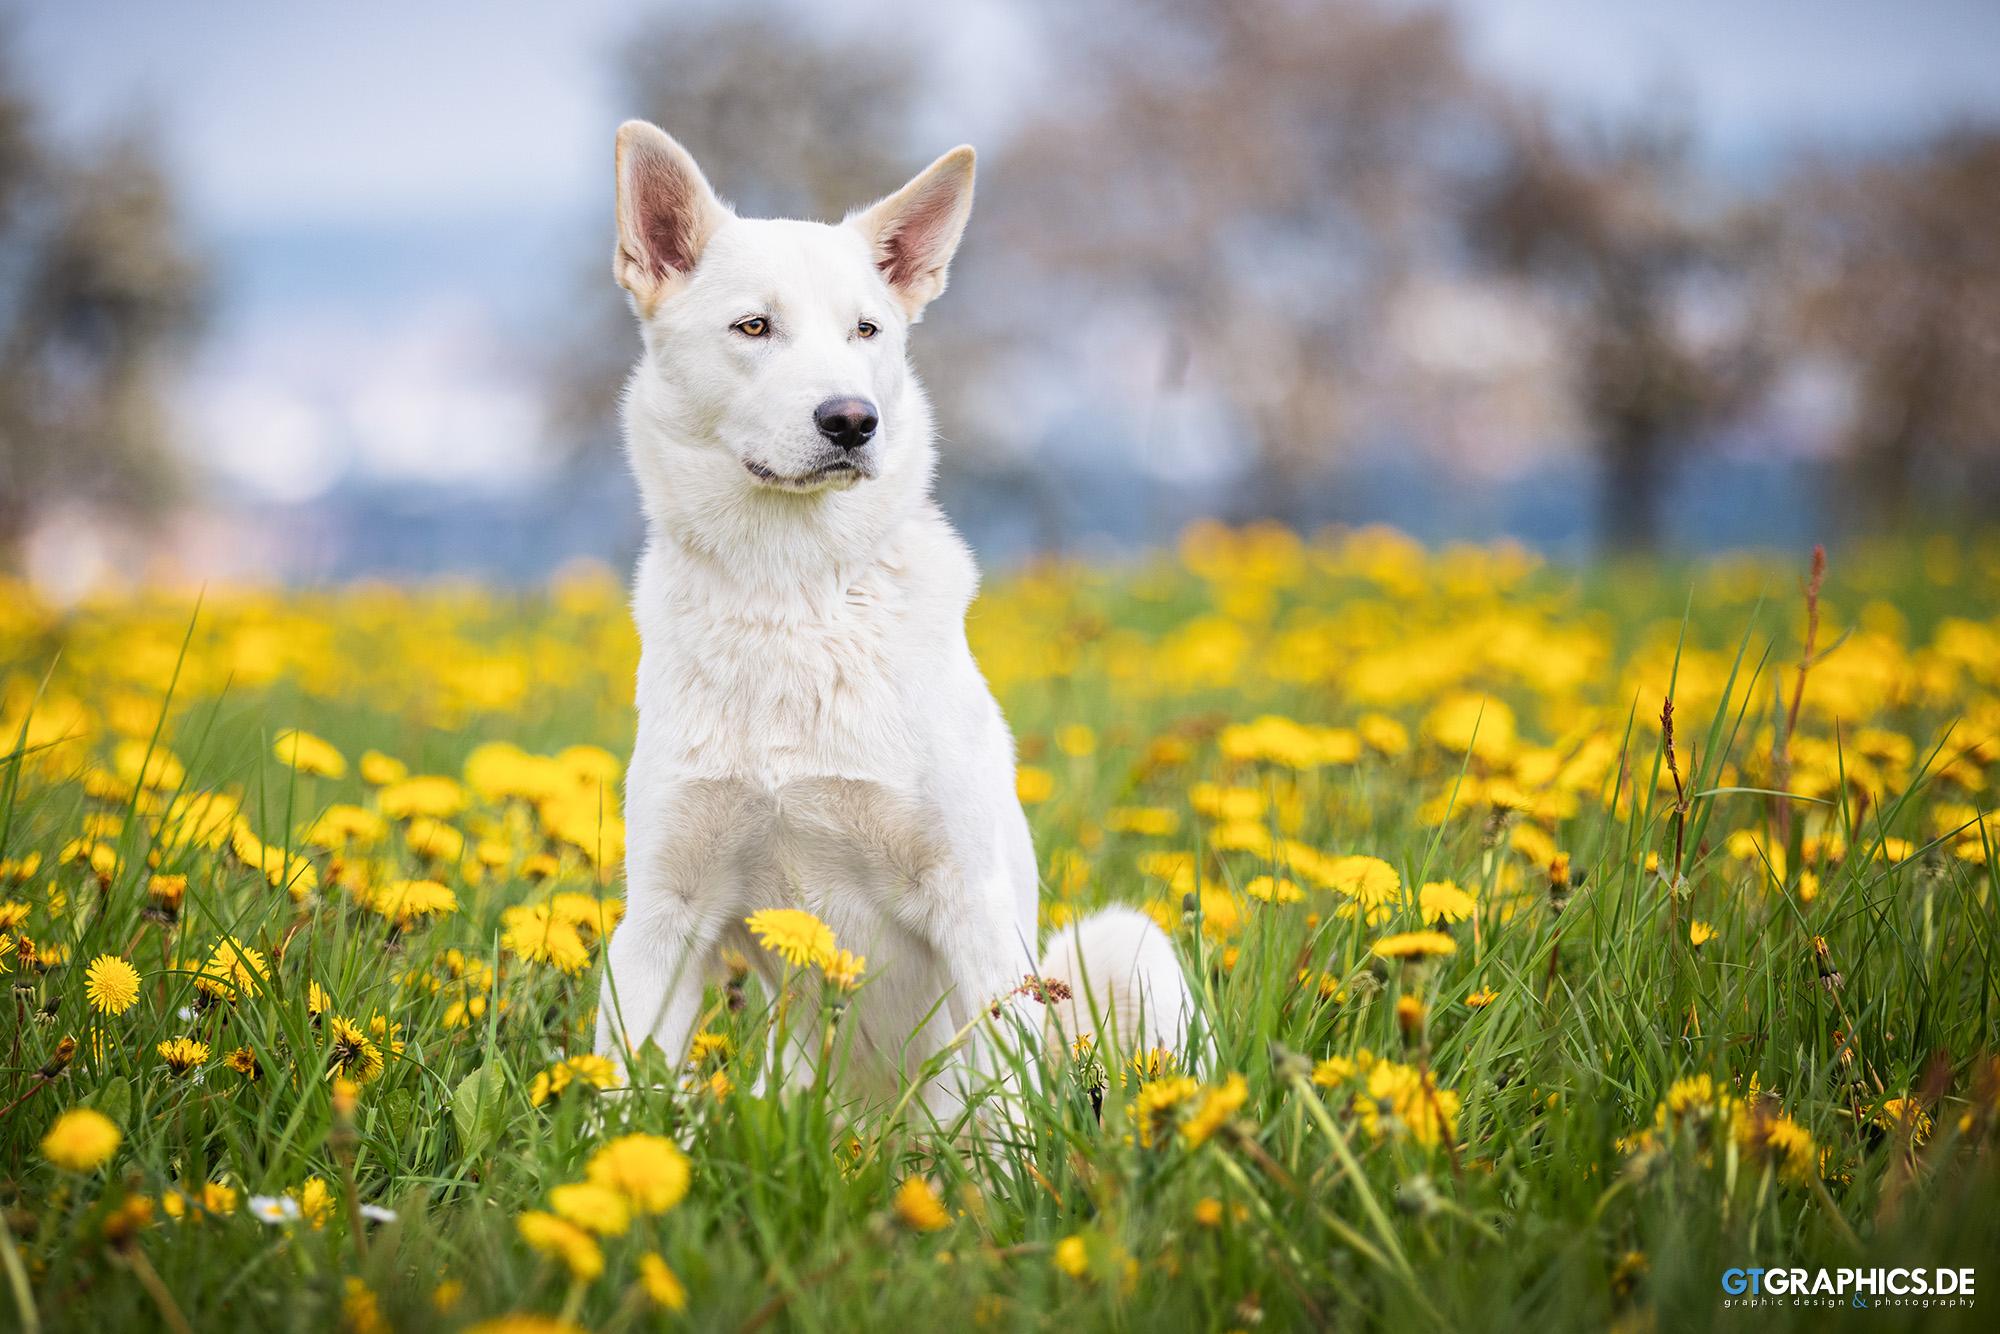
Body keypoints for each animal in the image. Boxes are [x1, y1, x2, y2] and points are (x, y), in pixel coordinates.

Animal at [588, 120, 1184, 1120]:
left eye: (866, 330)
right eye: (754, 327)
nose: (851, 420)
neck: (793, 596)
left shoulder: (970, 901)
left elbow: (1004, 1106)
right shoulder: (662, 919)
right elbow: (620, 1106)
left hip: (1126, 951)